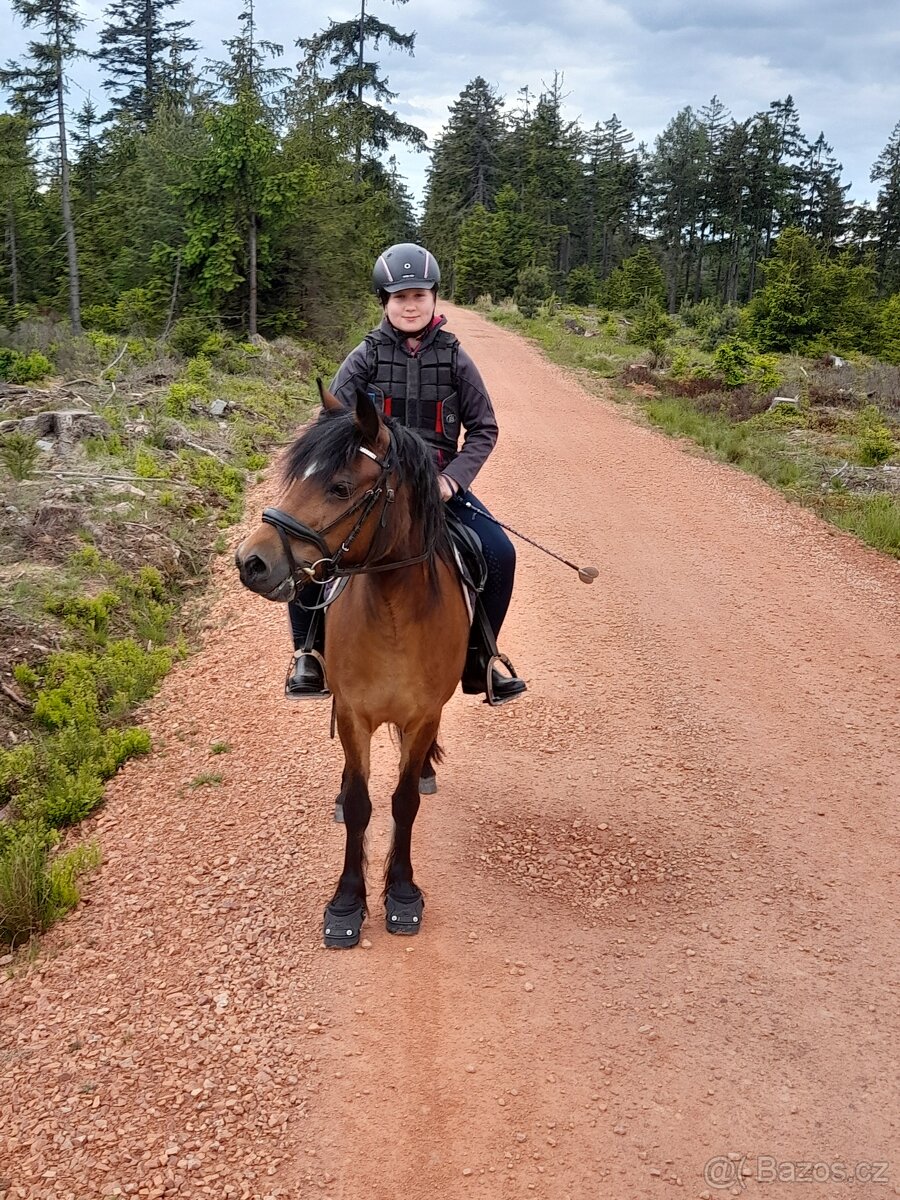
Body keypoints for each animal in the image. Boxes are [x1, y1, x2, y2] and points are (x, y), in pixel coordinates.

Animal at [234, 383, 470, 947]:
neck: (395, 617)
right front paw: (346, 902)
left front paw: (402, 895)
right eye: (297, 475)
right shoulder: (353, 715)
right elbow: (363, 805)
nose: (250, 561)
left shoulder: (424, 716)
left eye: (340, 488)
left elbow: (403, 803)